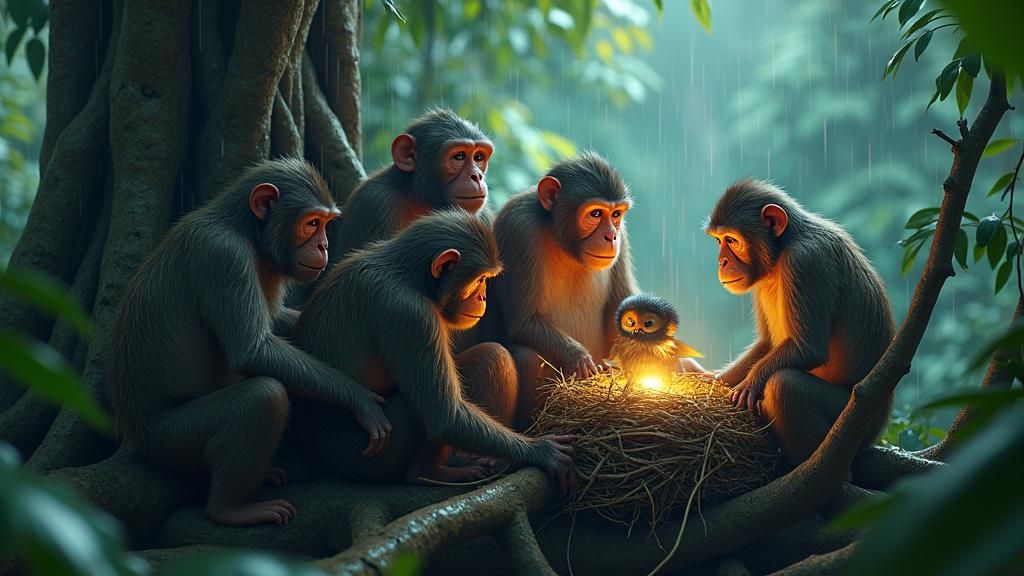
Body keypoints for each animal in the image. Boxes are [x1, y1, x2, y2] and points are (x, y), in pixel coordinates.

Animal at [107, 158, 392, 527]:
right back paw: (231, 509)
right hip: (169, 440)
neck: (247, 232)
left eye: (327, 224)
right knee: (262, 398)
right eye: (312, 223)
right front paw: (360, 400)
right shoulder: (224, 257)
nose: (324, 246)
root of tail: (134, 433)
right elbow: (253, 350)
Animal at [292, 209, 576, 489]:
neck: (410, 278)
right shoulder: (412, 315)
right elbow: (445, 416)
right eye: (480, 279)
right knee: (489, 360)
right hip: (369, 457)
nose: (483, 296)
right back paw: (427, 472)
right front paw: (539, 451)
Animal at [489, 152, 638, 428]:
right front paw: (578, 358)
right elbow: (523, 321)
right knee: (527, 356)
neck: (560, 239)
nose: (610, 237)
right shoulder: (519, 228)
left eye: (615, 215)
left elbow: (621, 309)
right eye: (595, 213)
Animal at [704, 178, 895, 466]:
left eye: (731, 240)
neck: (782, 250)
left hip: (854, 418)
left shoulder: (806, 261)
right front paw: (715, 378)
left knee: (785, 386)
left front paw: (751, 382)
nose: (721, 261)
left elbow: (808, 348)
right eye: (718, 241)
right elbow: (767, 344)